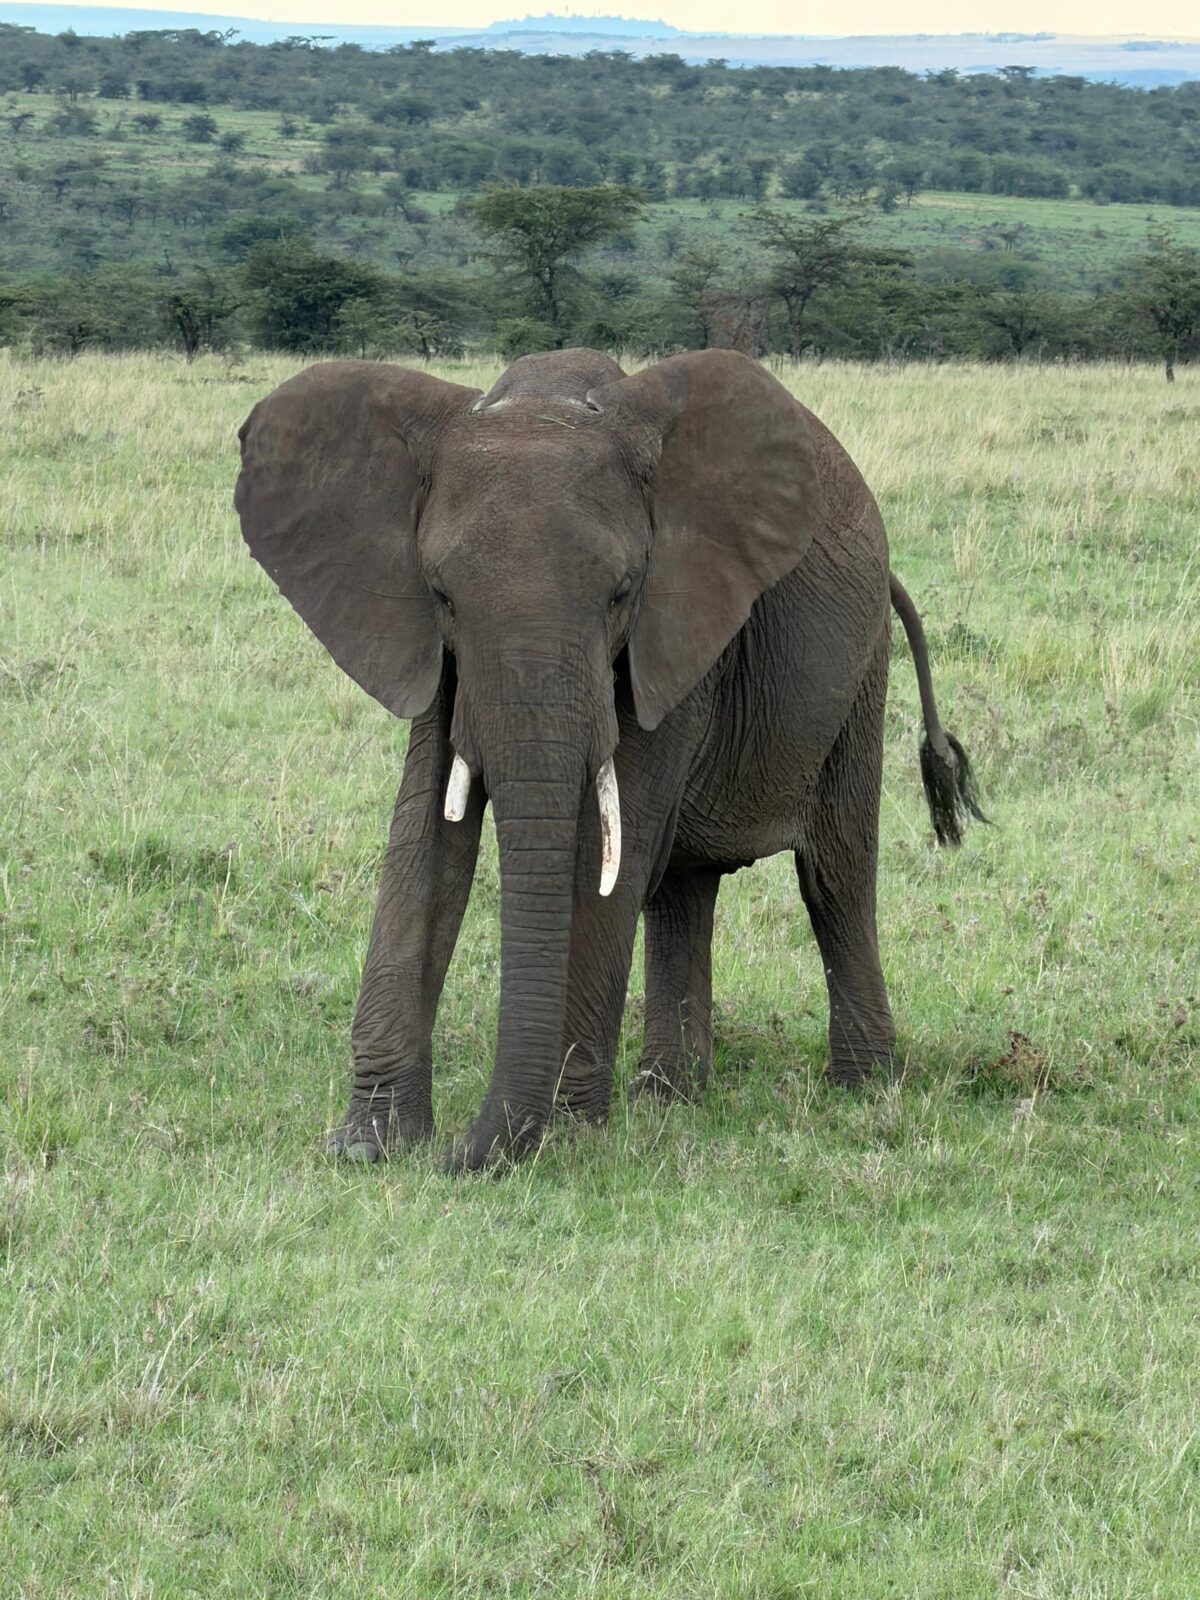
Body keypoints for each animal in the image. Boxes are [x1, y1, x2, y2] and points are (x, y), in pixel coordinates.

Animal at [234, 347, 985, 1171]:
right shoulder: (431, 652)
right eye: (442, 596)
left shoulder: (675, 625)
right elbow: (424, 840)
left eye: (621, 593)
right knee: (684, 889)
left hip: (858, 672)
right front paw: (369, 1146)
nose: (457, 1156)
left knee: (834, 878)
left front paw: (562, 1136)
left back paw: (864, 1088)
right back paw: (669, 1097)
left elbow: (603, 850)